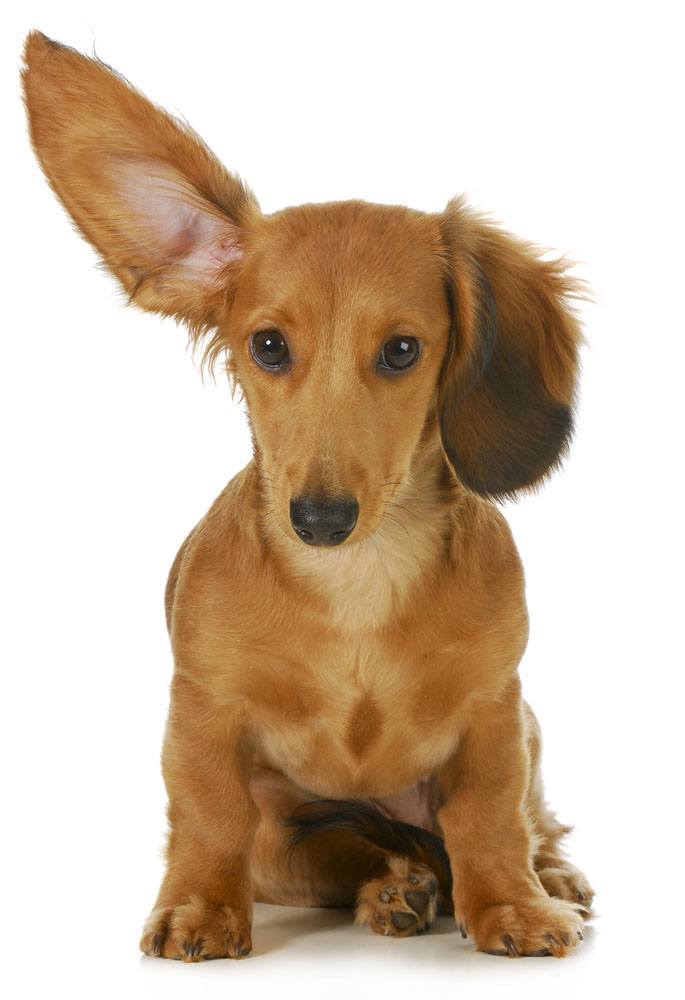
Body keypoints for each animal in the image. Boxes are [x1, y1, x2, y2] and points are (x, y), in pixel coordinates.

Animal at [24, 31, 592, 960]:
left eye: (401, 350)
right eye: (267, 345)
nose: (320, 520)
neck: (357, 583)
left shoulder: (495, 712)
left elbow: (488, 816)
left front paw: (513, 904)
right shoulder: (203, 714)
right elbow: (209, 817)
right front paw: (199, 908)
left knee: (516, 825)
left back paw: (547, 877)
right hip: (291, 828)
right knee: (354, 849)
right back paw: (395, 887)